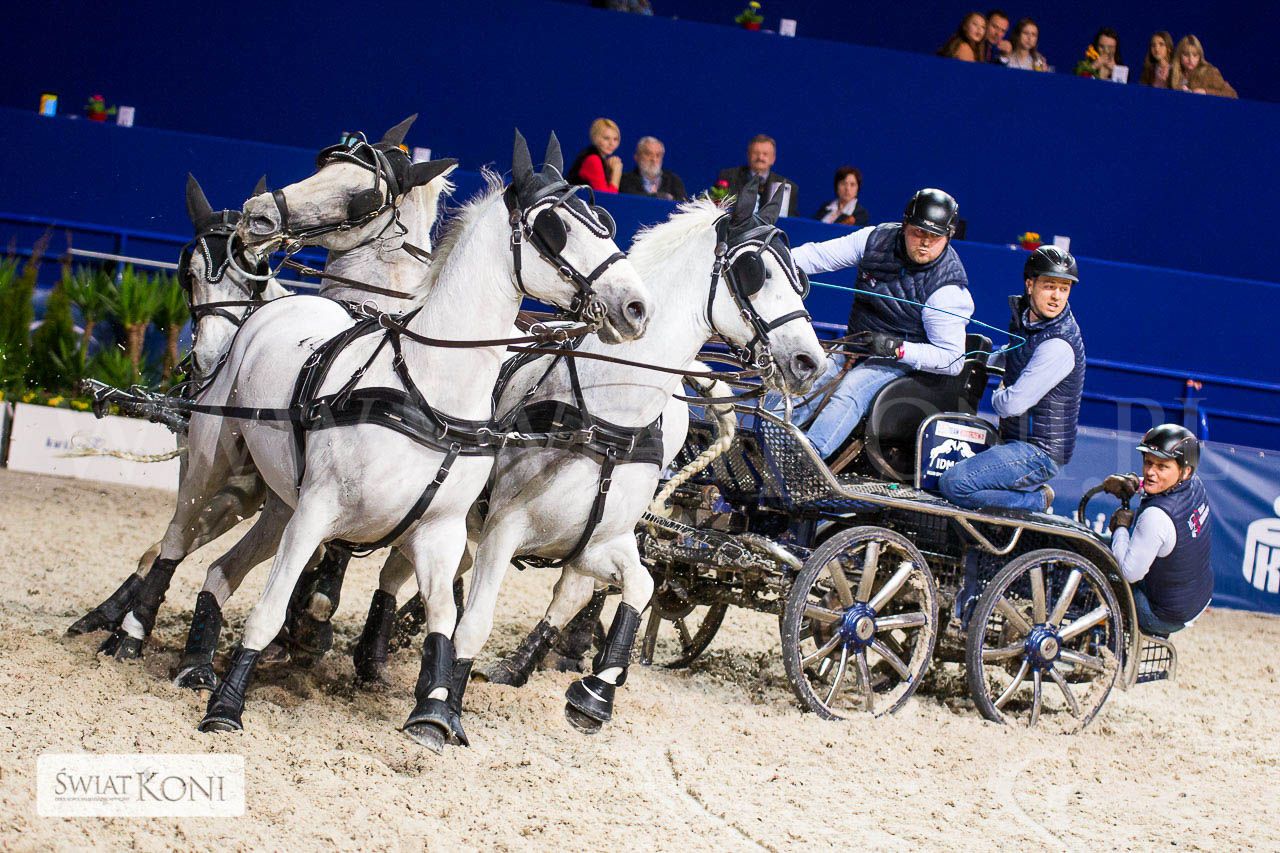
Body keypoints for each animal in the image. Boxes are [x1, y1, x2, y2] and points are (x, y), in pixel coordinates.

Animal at [184, 131, 649, 752]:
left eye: (604, 221)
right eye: (556, 228)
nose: (637, 306)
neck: (428, 386)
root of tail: (282, 306)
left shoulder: (440, 531)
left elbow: (445, 621)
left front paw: (434, 711)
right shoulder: (318, 513)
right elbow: (273, 607)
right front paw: (227, 707)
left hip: (278, 501)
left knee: (219, 570)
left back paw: (197, 657)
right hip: (216, 471)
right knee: (175, 541)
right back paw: (132, 632)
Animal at [351, 179, 825, 738]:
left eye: (799, 278)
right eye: (755, 270)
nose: (811, 362)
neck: (607, 411)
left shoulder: (596, 539)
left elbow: (637, 587)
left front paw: (594, 695)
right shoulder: (504, 528)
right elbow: (476, 619)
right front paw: (445, 707)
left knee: (559, 590)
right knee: (402, 570)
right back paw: (373, 650)